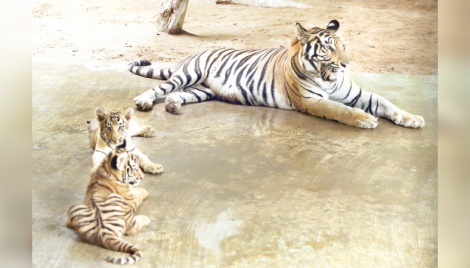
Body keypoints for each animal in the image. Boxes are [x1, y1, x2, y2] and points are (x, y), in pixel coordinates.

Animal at [129, 19, 426, 129]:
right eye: (328, 48)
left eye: (344, 47)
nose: (345, 65)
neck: (328, 82)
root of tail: (190, 56)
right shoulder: (311, 101)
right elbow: (339, 110)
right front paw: (365, 119)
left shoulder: (358, 94)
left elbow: (386, 102)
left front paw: (413, 118)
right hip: (189, 74)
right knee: (162, 87)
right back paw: (145, 101)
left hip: (202, 90)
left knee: (179, 95)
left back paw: (172, 106)